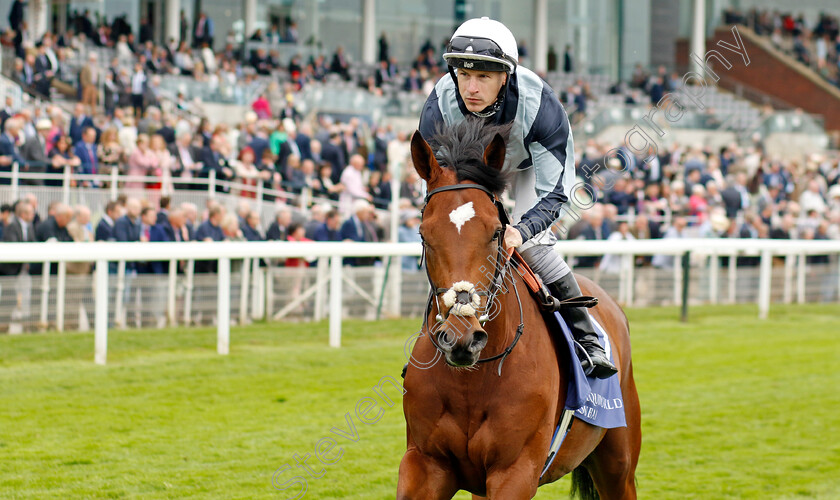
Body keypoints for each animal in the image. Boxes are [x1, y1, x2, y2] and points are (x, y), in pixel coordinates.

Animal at [398, 122, 640, 500]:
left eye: (496, 232)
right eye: (424, 233)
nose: (461, 338)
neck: (471, 382)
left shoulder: (515, 470)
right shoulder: (424, 462)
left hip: (619, 460)